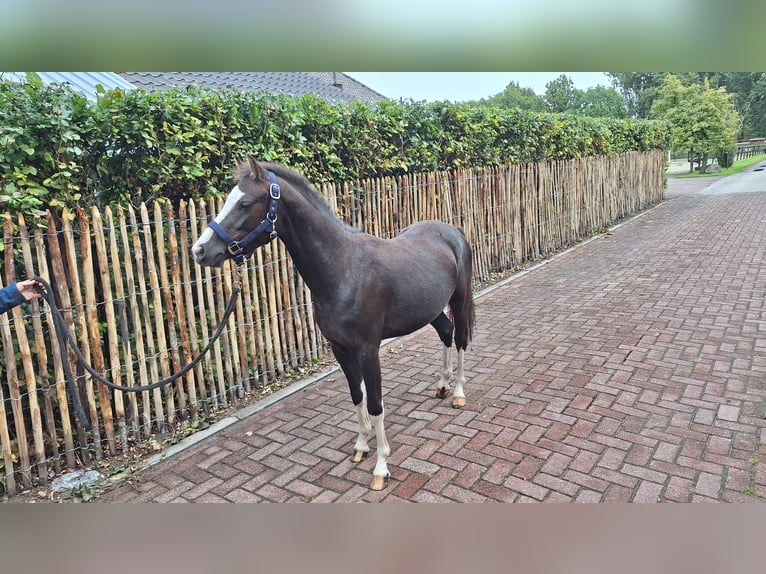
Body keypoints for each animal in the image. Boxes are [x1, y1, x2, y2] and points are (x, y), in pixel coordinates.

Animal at [191, 156, 475, 490]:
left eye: (245, 203)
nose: (200, 250)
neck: (342, 270)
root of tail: (451, 230)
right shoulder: (340, 349)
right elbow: (357, 396)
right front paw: (361, 446)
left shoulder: (368, 351)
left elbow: (376, 405)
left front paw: (381, 466)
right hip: (429, 310)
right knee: (445, 332)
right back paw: (442, 386)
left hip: (459, 301)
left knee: (460, 339)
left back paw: (458, 394)